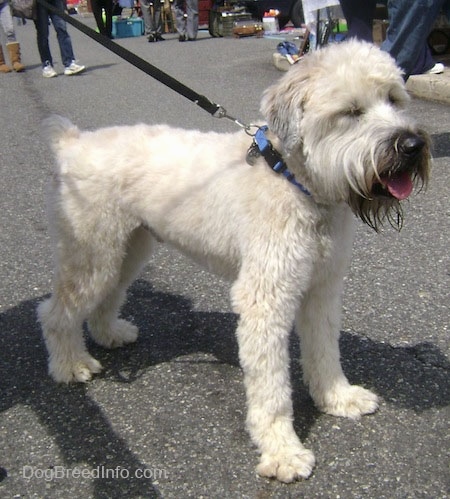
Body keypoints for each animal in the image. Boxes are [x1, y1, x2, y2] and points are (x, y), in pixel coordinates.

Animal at [37, 41, 428, 482]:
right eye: (351, 111)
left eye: (394, 99)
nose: (413, 145)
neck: (292, 179)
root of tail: (72, 142)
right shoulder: (265, 299)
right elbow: (272, 389)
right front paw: (282, 452)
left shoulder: (322, 288)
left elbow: (326, 350)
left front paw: (337, 398)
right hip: (91, 253)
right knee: (55, 312)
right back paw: (70, 365)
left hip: (126, 249)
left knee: (107, 296)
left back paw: (110, 334)